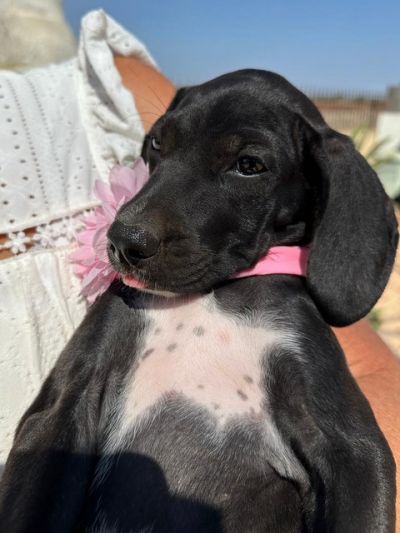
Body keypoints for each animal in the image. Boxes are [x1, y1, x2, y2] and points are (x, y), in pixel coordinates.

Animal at [0, 69, 397, 532]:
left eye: (249, 166)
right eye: (157, 142)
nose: (123, 242)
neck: (210, 297)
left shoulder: (355, 449)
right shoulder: (60, 411)